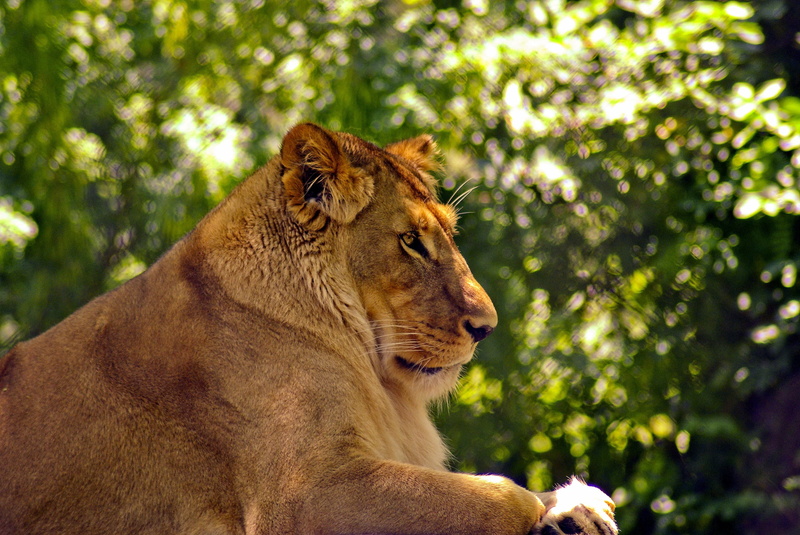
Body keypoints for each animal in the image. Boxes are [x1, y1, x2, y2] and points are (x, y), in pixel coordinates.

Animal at [0, 123, 616, 535]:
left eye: (447, 233)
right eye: (410, 241)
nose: (487, 327)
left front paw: (575, 507)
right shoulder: (303, 495)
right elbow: (499, 498)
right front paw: (555, 510)